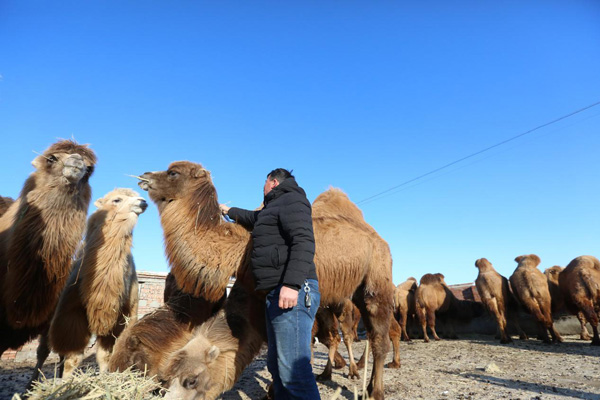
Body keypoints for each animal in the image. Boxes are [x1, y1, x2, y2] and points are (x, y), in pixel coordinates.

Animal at [44, 189, 148, 376]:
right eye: (117, 199)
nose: (143, 202)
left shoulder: (117, 317)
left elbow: (104, 355)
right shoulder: (71, 314)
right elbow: (73, 357)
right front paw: (66, 380)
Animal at [127, 162, 396, 400]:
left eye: (173, 172)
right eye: (166, 379)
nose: (144, 175)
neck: (240, 250)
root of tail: (379, 240)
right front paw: (271, 392)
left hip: (376, 278)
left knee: (377, 336)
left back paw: (374, 391)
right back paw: (351, 381)